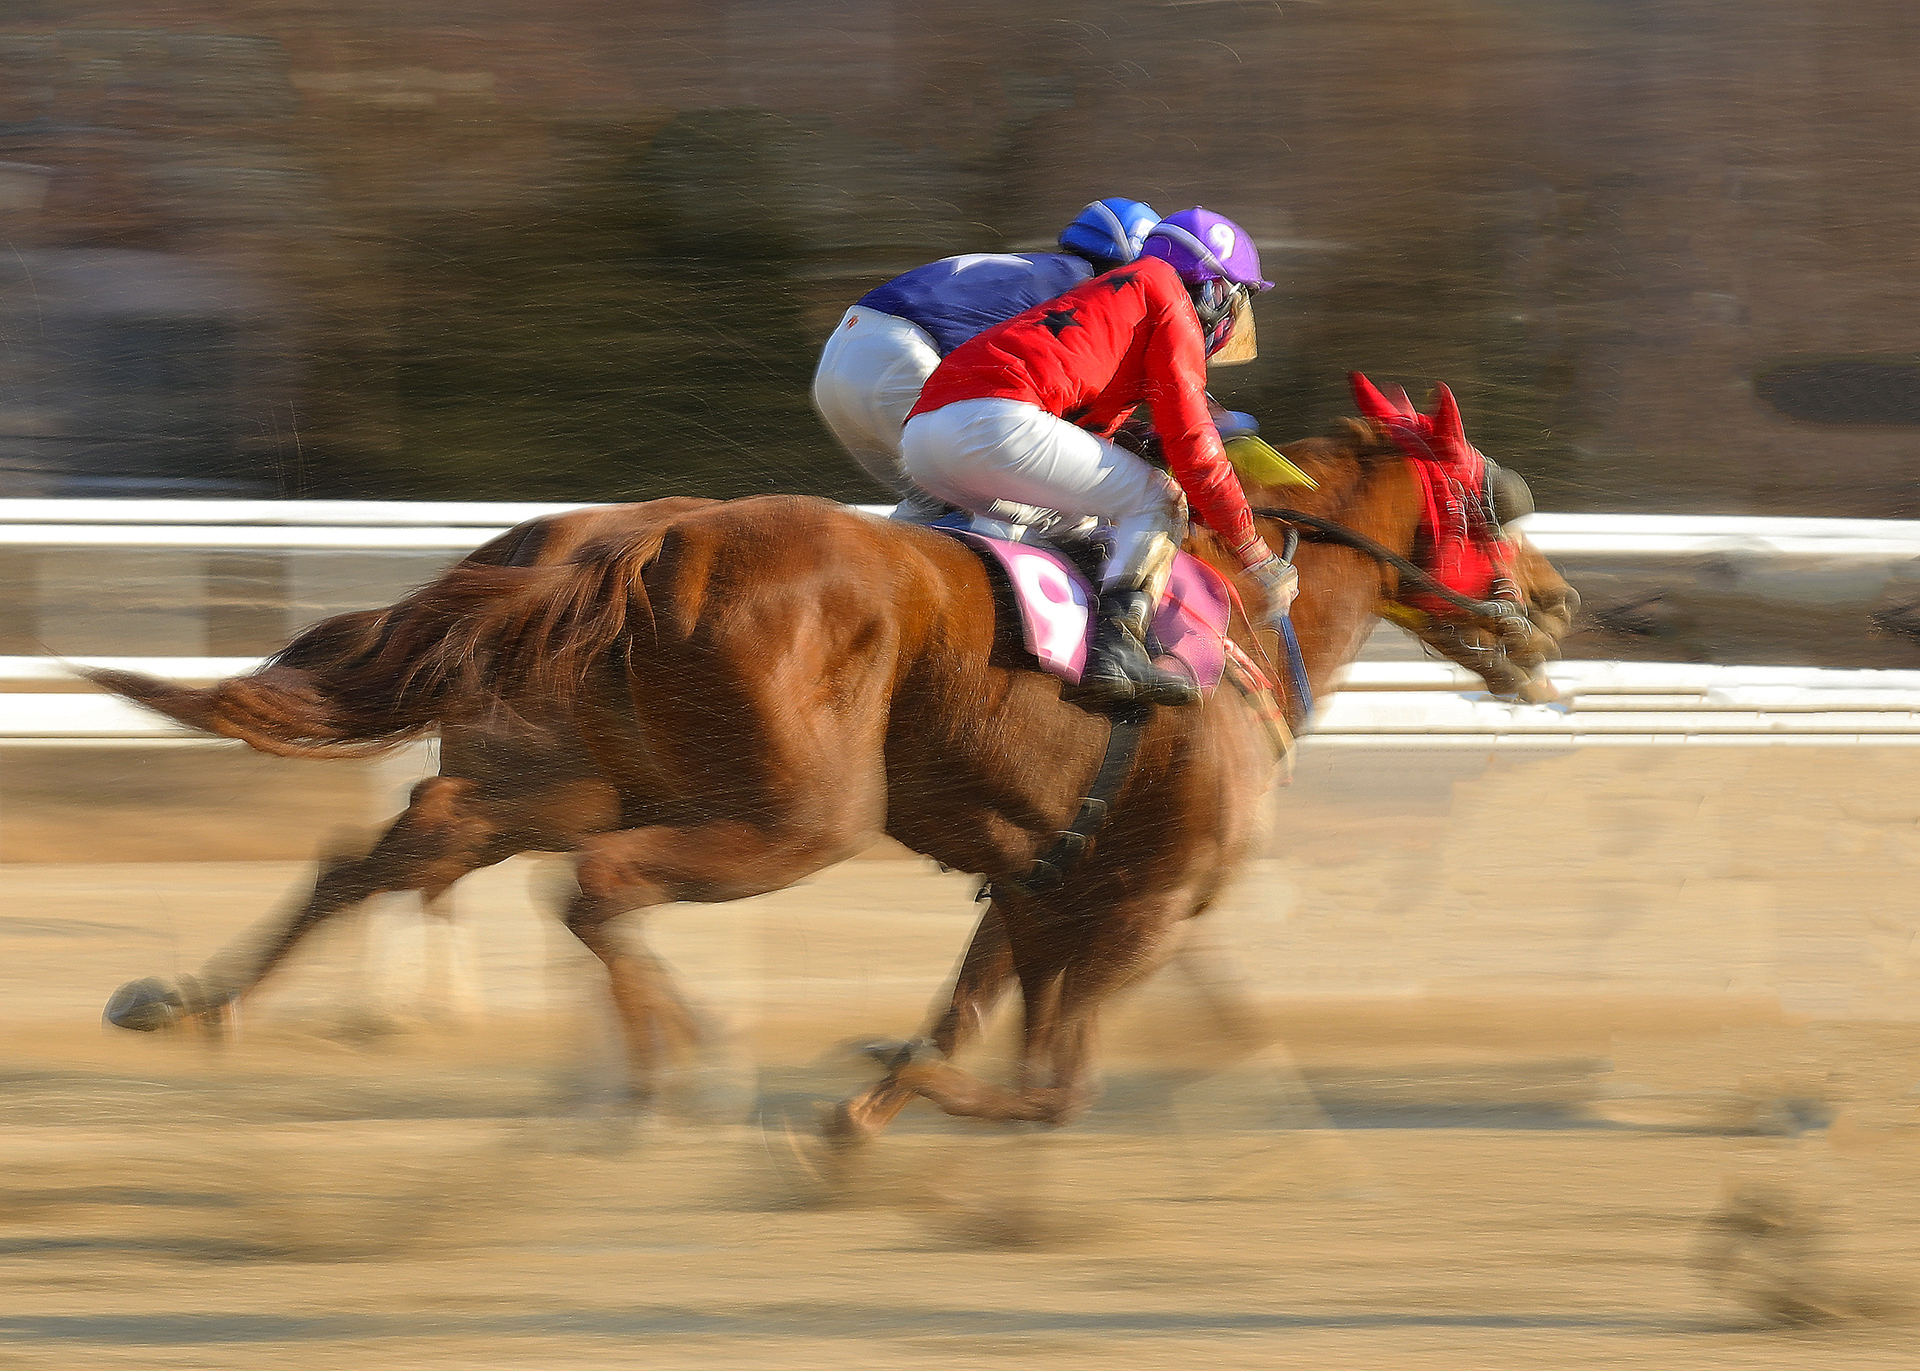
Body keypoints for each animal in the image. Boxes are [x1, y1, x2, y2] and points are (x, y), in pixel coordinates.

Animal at [92, 403, 1575, 1133]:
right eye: (1489, 504)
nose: (1557, 607)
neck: (1239, 603)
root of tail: (638, 540)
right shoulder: (1146, 900)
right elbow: (1051, 1084)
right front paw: (875, 1092)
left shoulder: (1038, 881)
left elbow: (973, 1022)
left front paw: (879, 1093)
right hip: (793, 812)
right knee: (597, 885)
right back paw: (673, 1066)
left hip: (554, 775)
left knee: (391, 851)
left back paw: (192, 1002)